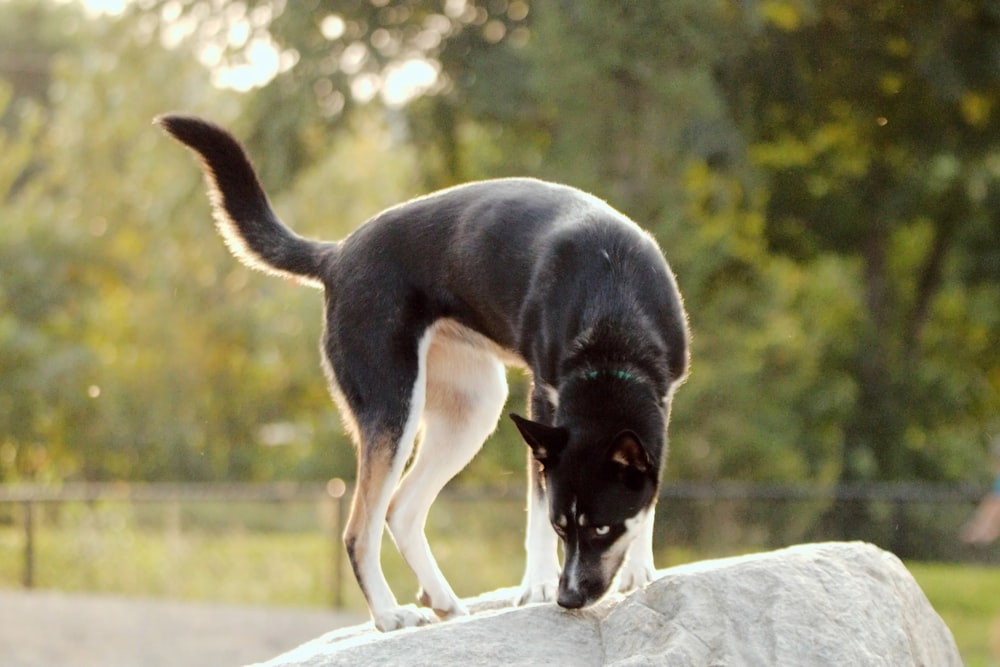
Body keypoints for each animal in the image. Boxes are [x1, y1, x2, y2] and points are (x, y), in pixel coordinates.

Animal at [158, 115, 688, 632]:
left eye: (602, 527)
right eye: (563, 526)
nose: (569, 597)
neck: (612, 317)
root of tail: (337, 255)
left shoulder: (660, 404)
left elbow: (649, 495)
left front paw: (640, 567)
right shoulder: (545, 403)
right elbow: (536, 507)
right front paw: (537, 583)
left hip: (472, 408)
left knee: (401, 510)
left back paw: (443, 600)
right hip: (395, 407)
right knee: (360, 529)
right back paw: (389, 614)